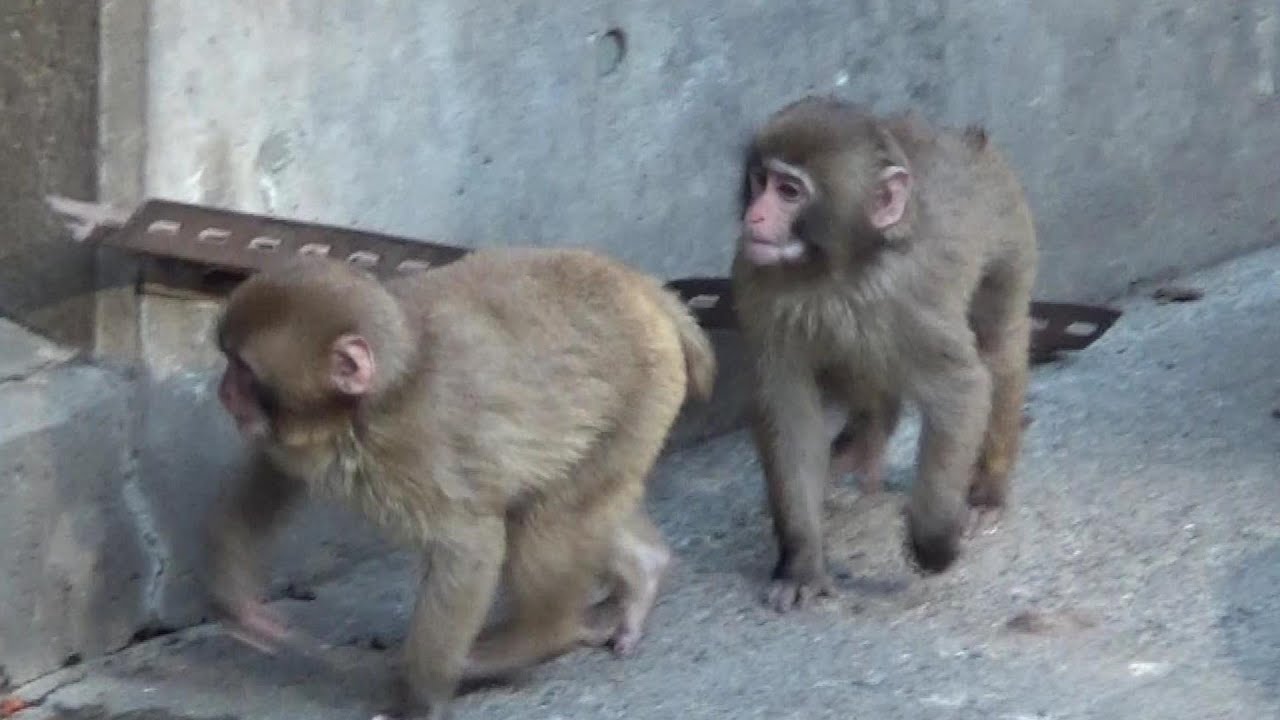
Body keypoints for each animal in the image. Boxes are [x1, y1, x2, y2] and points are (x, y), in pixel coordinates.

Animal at [204, 248, 716, 718]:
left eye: (244, 372)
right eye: (228, 361)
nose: (223, 391)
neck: (377, 398)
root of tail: (644, 290)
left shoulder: (418, 449)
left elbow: (469, 546)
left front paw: (422, 696)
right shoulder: (302, 441)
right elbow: (275, 472)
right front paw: (237, 599)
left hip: (640, 399)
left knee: (551, 521)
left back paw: (533, 642)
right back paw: (645, 569)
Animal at [731, 97, 1038, 612]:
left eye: (789, 192)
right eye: (760, 181)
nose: (754, 217)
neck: (838, 271)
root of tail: (965, 138)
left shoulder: (909, 298)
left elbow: (961, 390)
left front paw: (934, 540)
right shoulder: (758, 282)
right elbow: (787, 409)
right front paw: (801, 561)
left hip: (1010, 227)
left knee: (997, 345)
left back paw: (987, 492)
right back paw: (864, 439)